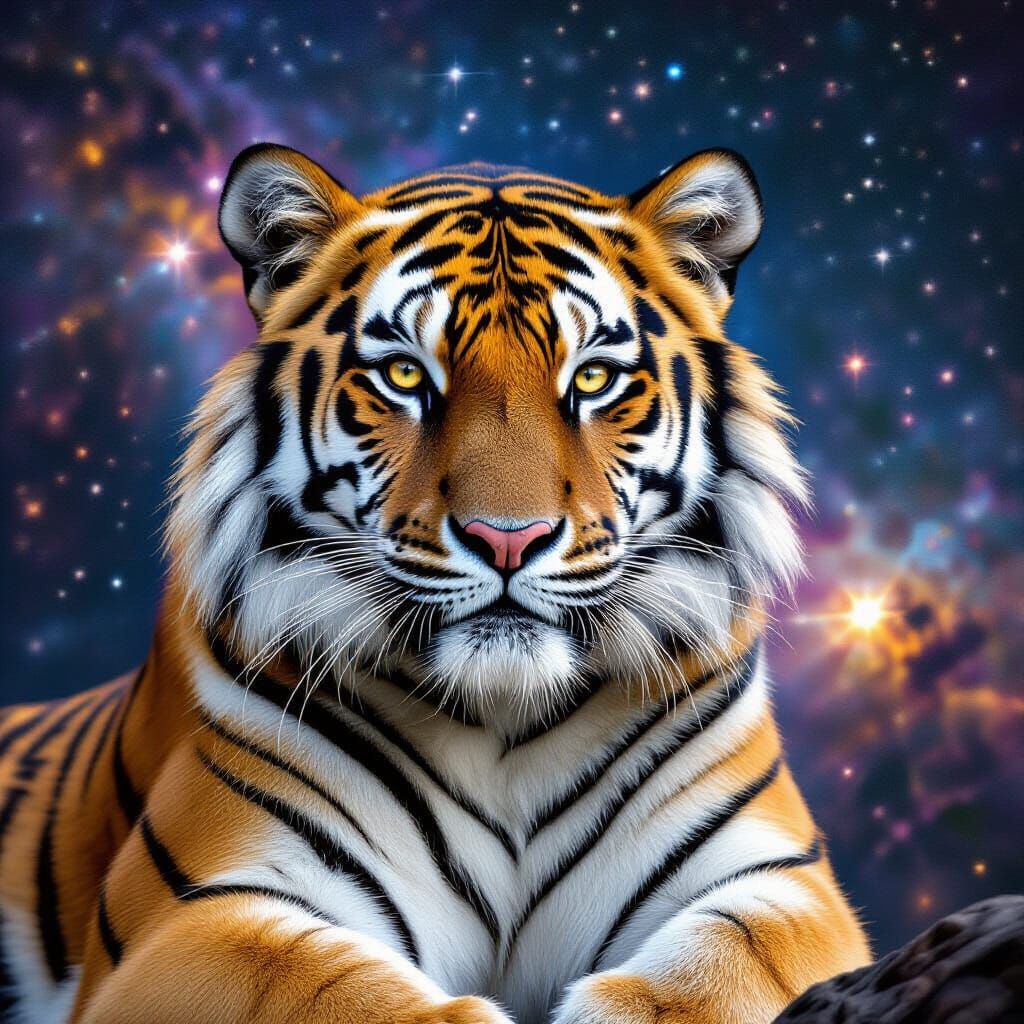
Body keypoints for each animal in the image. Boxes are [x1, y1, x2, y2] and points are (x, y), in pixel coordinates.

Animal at [0, 144, 870, 1024]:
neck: (505, 720)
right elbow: (333, 988)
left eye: (592, 380)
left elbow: (710, 979)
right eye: (402, 375)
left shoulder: (779, 883)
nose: (507, 538)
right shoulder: (192, 909)